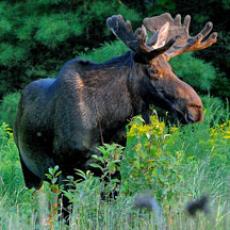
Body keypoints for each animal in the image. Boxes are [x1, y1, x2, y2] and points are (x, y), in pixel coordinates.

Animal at [14, 12, 217, 216]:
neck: (106, 121)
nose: (197, 108)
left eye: (171, 69)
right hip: (29, 170)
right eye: (153, 70)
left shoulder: (113, 170)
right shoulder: (66, 171)